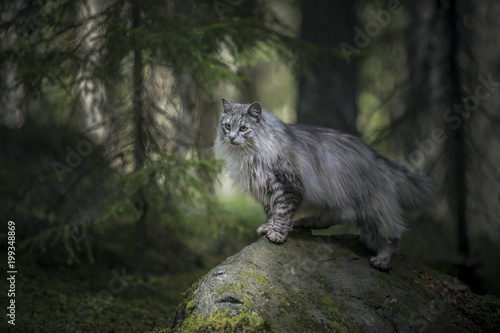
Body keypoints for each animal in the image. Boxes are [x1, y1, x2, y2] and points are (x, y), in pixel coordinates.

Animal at [214, 98, 434, 270]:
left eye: (243, 128)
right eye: (227, 126)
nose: (231, 137)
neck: (250, 156)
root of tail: (380, 158)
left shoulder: (287, 187)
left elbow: (282, 213)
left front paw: (277, 234)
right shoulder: (265, 190)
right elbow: (271, 212)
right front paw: (267, 228)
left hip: (373, 208)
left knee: (391, 236)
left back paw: (383, 261)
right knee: (332, 216)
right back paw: (306, 222)